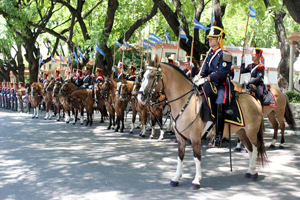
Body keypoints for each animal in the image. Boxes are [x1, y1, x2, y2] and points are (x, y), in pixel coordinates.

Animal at [137, 54, 266, 189]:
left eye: (151, 76)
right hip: (241, 131)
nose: (140, 97)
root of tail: (255, 100)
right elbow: (180, 156)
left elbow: (197, 157)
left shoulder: (195, 137)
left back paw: (254, 171)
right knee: (250, 148)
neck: (185, 102)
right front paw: (176, 178)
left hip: (251, 131)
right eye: (144, 76)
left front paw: (196, 180)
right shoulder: (180, 137)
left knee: (256, 146)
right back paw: (249, 171)